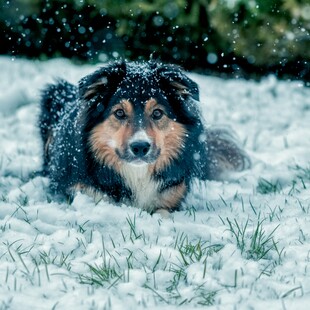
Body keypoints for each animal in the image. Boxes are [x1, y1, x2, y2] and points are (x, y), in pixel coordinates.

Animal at [39, 60, 252, 216]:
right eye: (119, 113)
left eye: (157, 113)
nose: (140, 147)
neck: (137, 173)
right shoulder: (82, 191)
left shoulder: (172, 197)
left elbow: (162, 212)